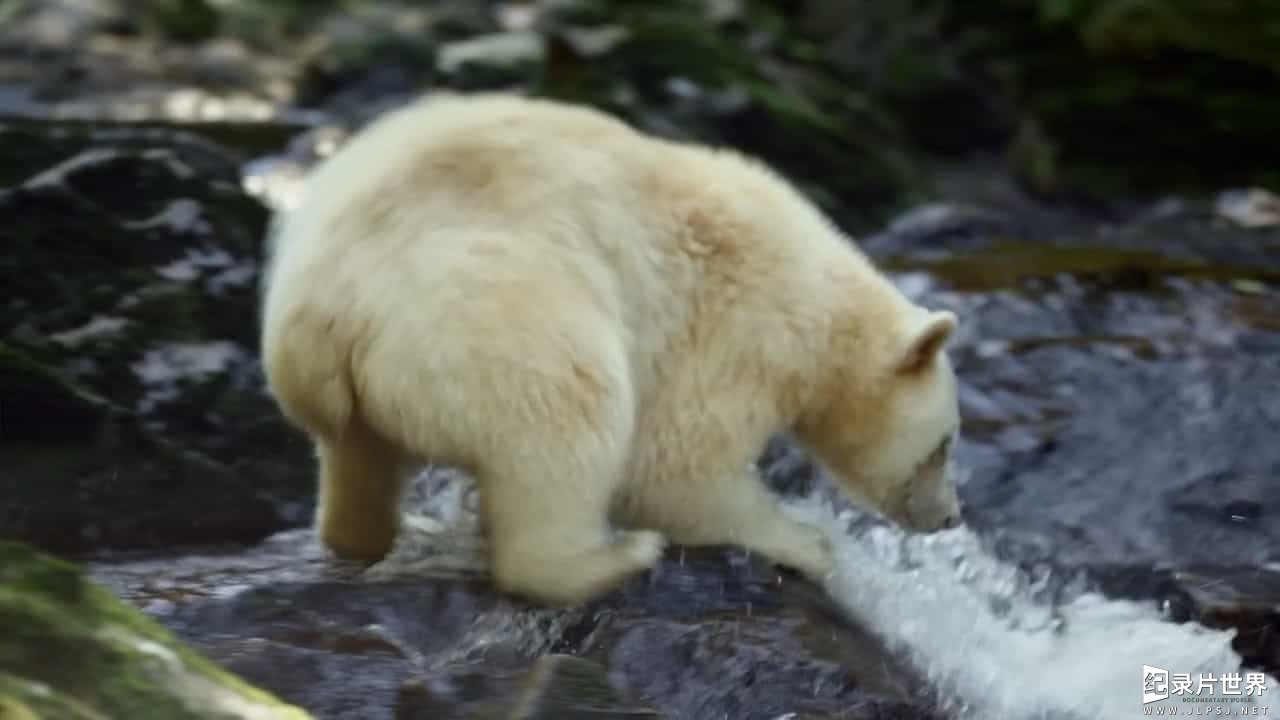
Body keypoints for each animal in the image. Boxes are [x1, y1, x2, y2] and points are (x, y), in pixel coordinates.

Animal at [259, 92, 962, 602]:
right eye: (944, 445)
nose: (951, 517)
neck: (823, 296)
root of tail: (320, 310)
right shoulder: (742, 328)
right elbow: (673, 466)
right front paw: (808, 544)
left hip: (350, 383)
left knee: (356, 456)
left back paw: (364, 535)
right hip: (491, 318)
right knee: (565, 421)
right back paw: (612, 557)